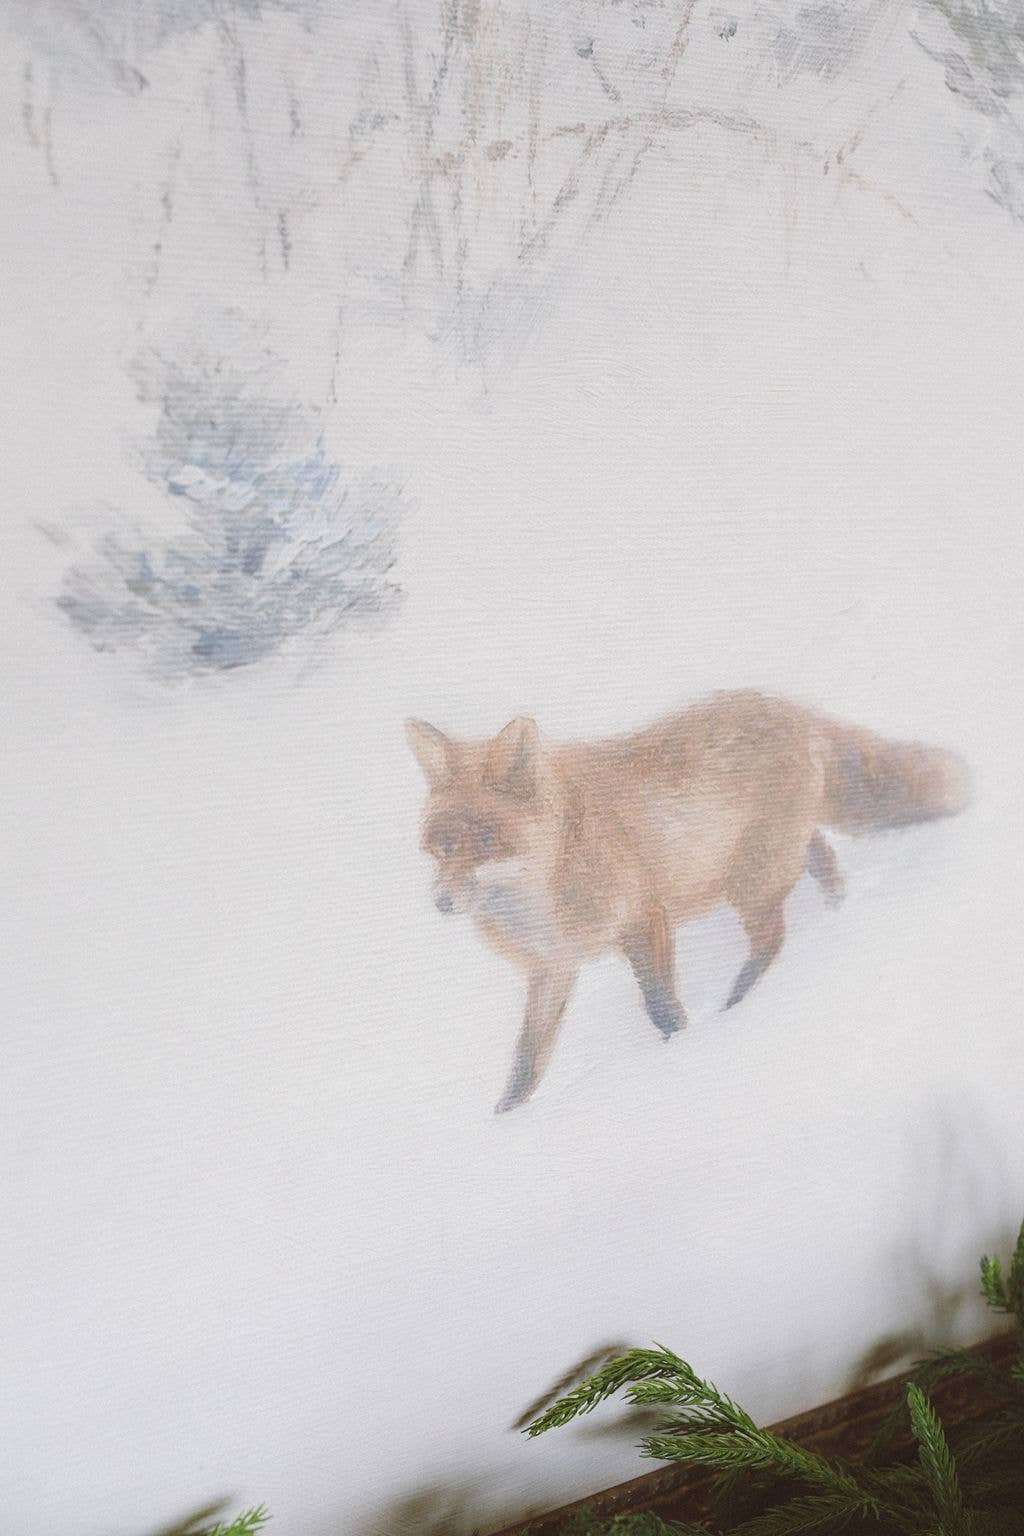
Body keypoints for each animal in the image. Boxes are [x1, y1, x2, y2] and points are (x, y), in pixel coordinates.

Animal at [406, 690, 970, 1114]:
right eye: (442, 845)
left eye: (487, 841)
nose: (442, 902)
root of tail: (786, 705)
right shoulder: (553, 968)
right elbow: (526, 1062)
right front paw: (505, 1120)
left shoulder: (645, 920)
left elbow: (661, 1007)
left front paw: (684, 1053)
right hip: (771, 860)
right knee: (822, 856)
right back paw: (837, 912)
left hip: (750, 883)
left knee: (772, 940)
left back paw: (736, 1006)